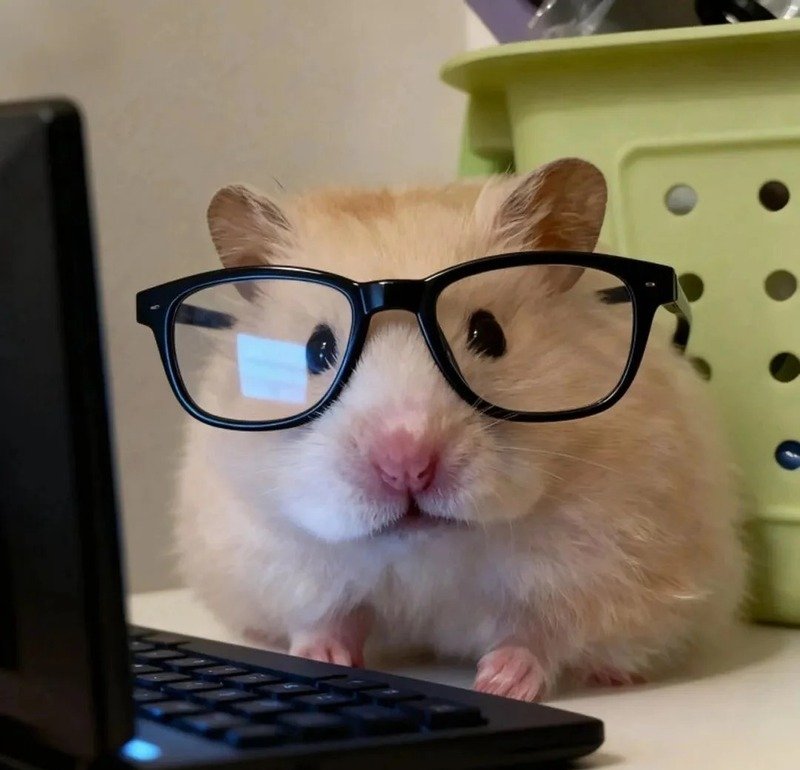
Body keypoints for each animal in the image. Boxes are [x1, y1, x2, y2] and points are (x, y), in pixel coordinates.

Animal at [174, 158, 746, 701]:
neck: (429, 554)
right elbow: (326, 617)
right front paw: (323, 660)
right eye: (316, 349)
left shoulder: (605, 566)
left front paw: (499, 684)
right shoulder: (275, 556)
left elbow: (539, 634)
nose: (405, 465)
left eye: (488, 334)